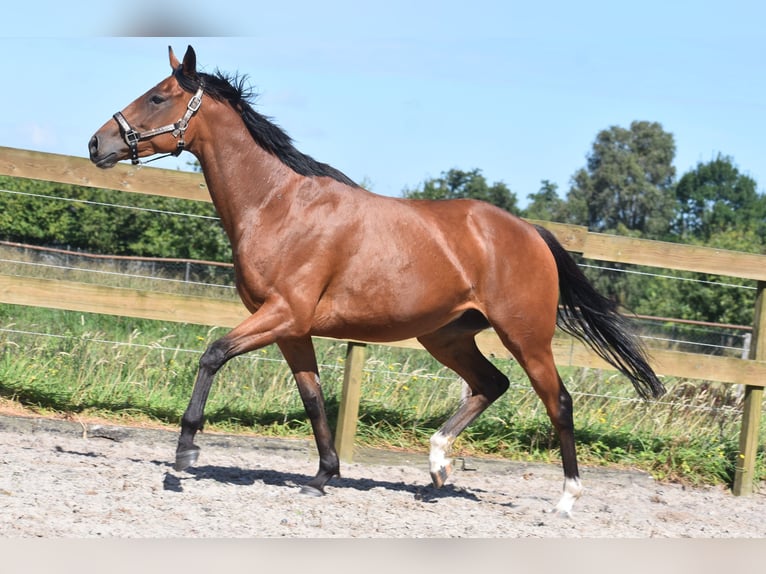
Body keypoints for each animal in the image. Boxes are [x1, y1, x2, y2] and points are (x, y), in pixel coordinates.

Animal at [88, 45, 664, 516]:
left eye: (159, 97)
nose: (97, 143)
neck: (277, 206)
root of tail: (530, 232)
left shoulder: (282, 314)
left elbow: (212, 354)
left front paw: (185, 452)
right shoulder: (293, 329)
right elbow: (314, 399)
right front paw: (322, 476)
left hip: (526, 336)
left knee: (558, 401)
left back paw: (565, 498)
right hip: (446, 335)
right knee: (490, 384)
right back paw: (436, 469)